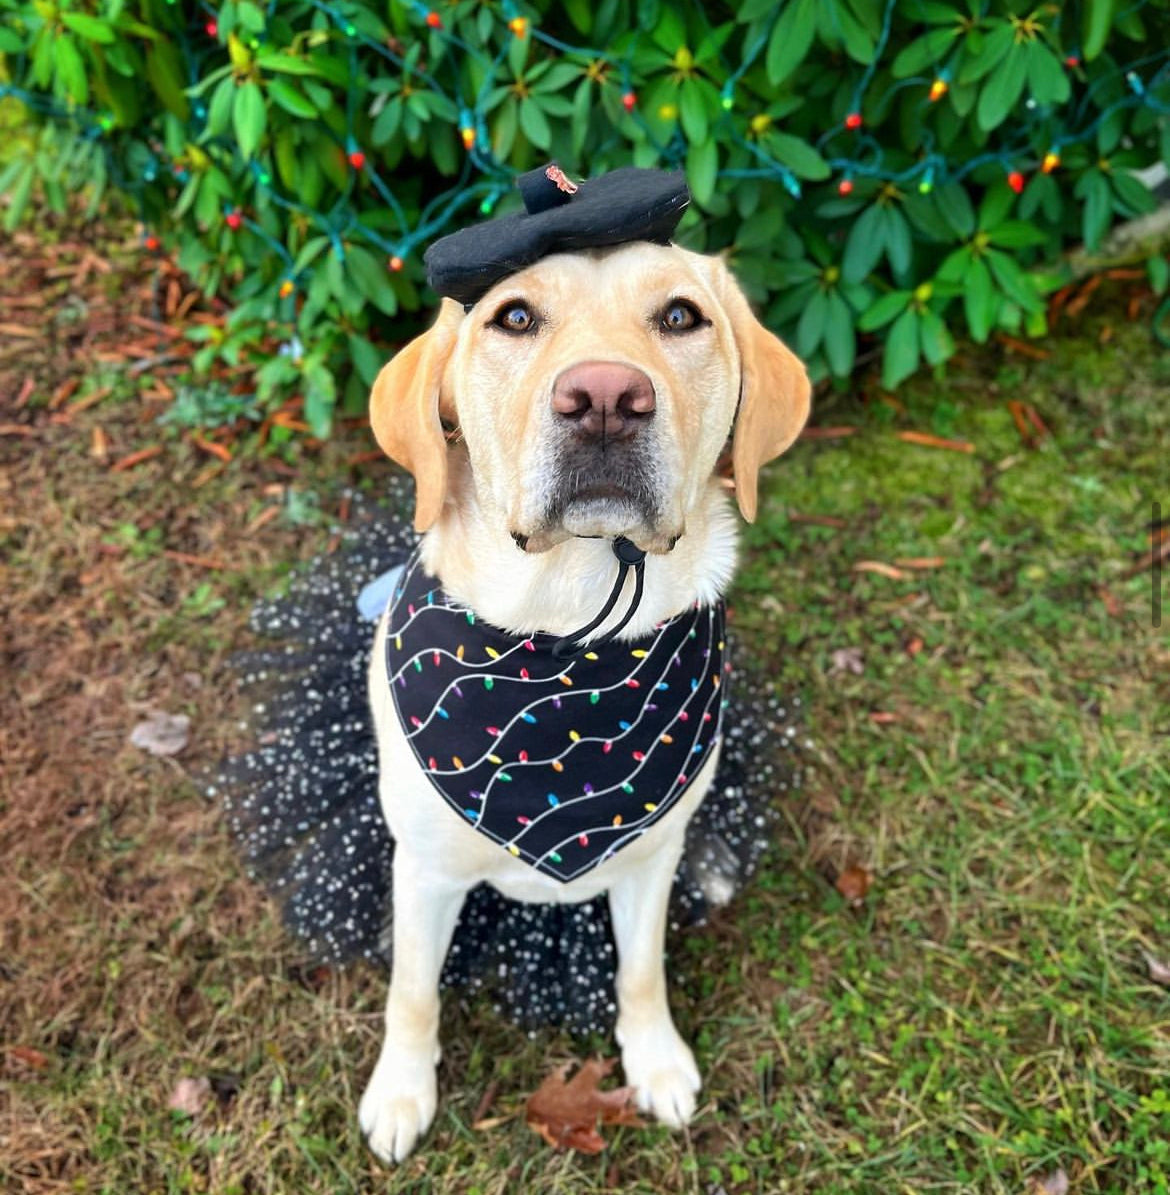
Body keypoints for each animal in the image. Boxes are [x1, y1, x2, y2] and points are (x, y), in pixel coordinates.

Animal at [360, 237, 807, 1161]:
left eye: (680, 315)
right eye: (514, 316)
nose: (605, 398)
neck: (571, 631)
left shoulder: (651, 859)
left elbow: (640, 971)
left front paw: (656, 1060)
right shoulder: (424, 870)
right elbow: (413, 991)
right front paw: (400, 1091)